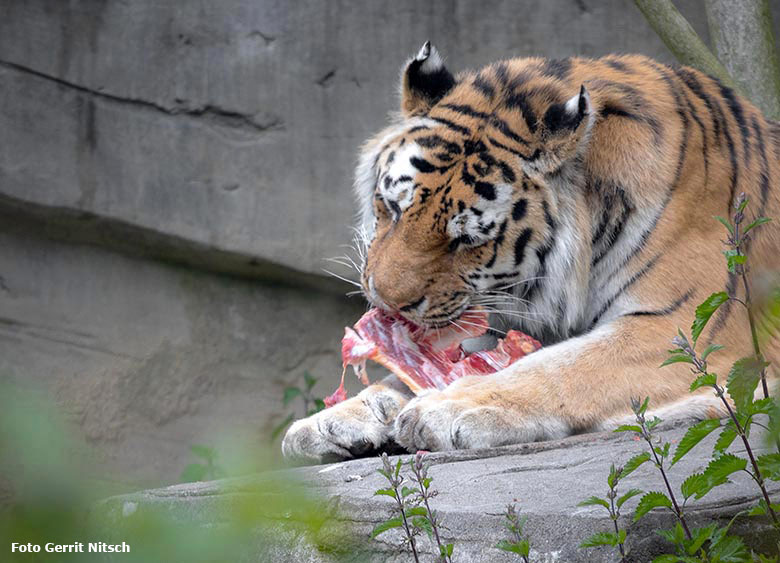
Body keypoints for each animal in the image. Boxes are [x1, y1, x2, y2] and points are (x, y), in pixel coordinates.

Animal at [284, 40, 780, 462]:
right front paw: (329, 421)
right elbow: (414, 372)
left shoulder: (685, 325)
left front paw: (449, 408)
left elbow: (561, 367)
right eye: (391, 207)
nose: (386, 302)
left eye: (467, 240)